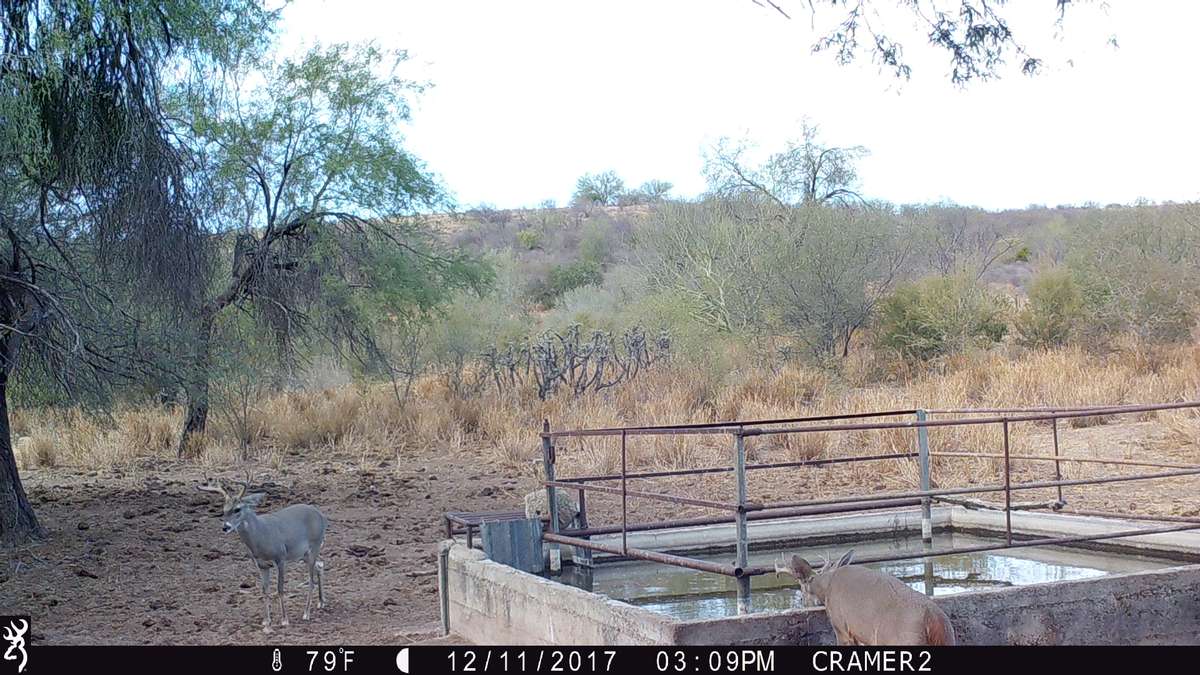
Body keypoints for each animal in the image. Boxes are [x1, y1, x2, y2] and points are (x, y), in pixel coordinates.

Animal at [197, 474, 328, 632]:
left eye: (237, 509)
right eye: (224, 510)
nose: (225, 527)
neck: (261, 537)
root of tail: (320, 515)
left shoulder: (280, 557)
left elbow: (280, 588)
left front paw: (284, 620)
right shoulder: (261, 564)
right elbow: (265, 590)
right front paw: (266, 621)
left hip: (314, 545)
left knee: (311, 580)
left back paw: (306, 613)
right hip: (305, 554)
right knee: (320, 565)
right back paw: (321, 602)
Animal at [775, 550, 957, 646]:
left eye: (802, 590)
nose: (802, 602)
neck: (826, 586)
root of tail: (932, 618)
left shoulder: (841, 627)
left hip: (904, 640)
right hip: (948, 639)